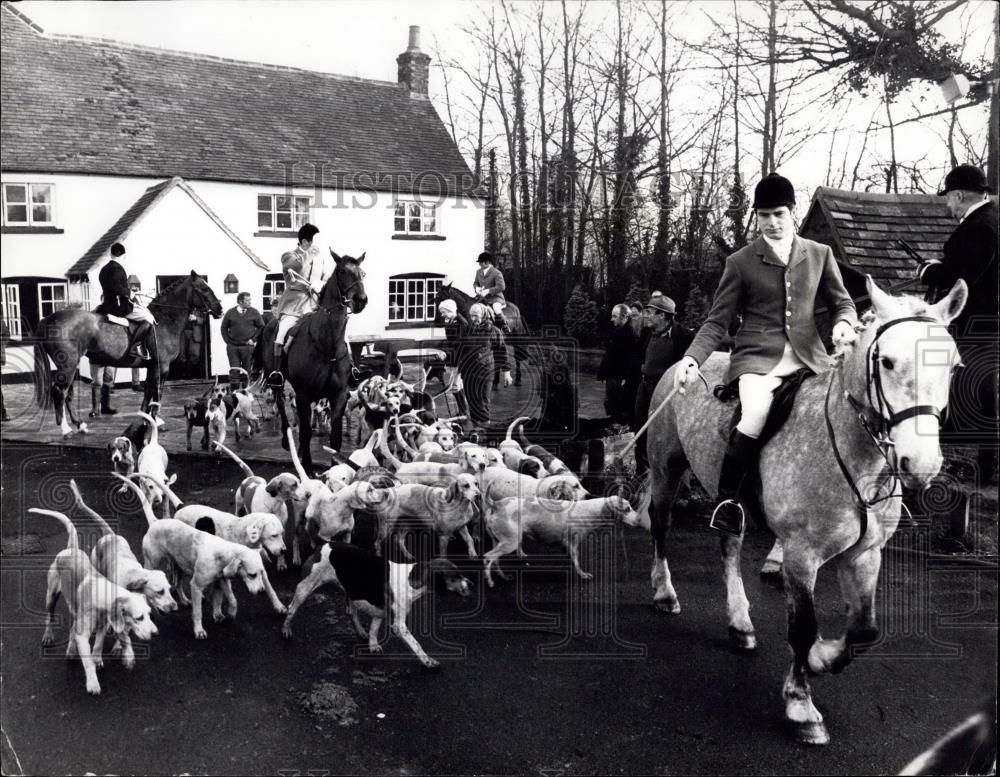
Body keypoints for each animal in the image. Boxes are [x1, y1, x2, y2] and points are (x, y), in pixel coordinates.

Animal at [35, 270, 225, 434]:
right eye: (203, 289)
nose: (220, 310)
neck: (164, 320)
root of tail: (47, 319)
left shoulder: (152, 367)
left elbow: (148, 392)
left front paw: (145, 419)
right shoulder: (162, 367)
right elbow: (157, 393)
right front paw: (157, 422)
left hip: (70, 367)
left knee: (67, 394)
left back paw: (79, 424)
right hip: (68, 366)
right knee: (60, 392)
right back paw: (66, 429)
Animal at [258, 252, 368, 470]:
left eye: (362, 273)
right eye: (342, 271)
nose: (360, 300)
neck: (327, 344)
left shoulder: (338, 396)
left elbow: (335, 437)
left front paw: (336, 468)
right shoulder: (303, 394)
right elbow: (307, 431)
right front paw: (307, 467)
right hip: (278, 381)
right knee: (281, 403)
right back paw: (287, 439)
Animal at [644, 276, 964, 744]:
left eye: (953, 366)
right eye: (886, 361)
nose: (920, 464)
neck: (857, 457)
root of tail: (684, 364)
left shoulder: (866, 554)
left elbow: (864, 629)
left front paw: (821, 658)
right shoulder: (801, 555)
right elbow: (802, 627)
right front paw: (801, 705)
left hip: (732, 500)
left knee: (729, 545)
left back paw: (740, 623)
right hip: (666, 470)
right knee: (661, 525)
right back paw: (665, 592)